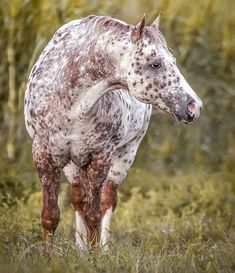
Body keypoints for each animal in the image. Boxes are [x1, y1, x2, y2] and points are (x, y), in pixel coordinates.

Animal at [24, 13, 203, 251]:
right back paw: (80, 248)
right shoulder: (44, 156)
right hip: (72, 164)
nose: (194, 106)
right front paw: (49, 255)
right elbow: (50, 215)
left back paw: (103, 248)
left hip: (125, 155)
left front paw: (95, 255)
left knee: (107, 199)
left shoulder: (101, 157)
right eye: (155, 63)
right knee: (78, 198)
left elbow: (94, 214)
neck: (70, 101)